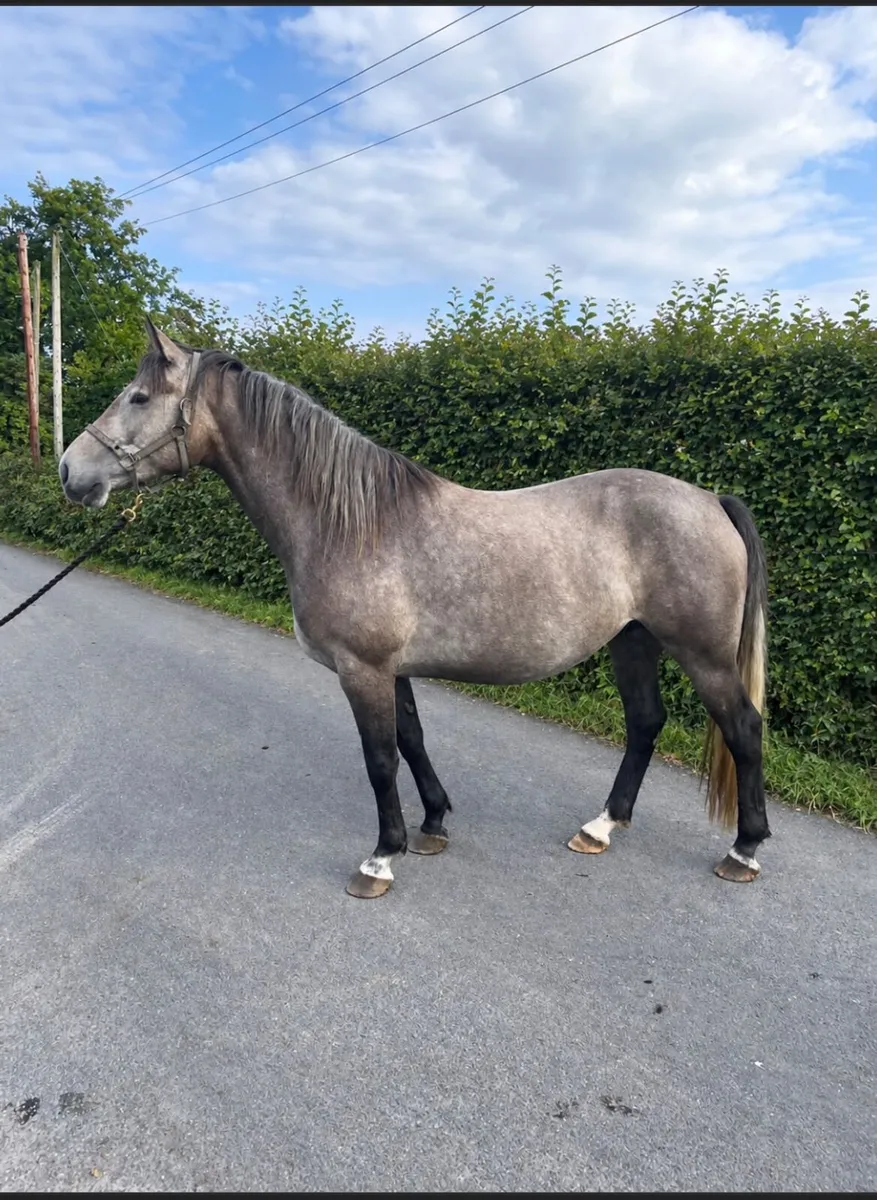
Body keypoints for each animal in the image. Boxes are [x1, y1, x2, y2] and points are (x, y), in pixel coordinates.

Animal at [59, 319, 771, 899]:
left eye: (139, 398)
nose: (70, 471)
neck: (349, 523)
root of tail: (710, 500)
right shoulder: (389, 669)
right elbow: (412, 739)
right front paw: (432, 825)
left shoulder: (362, 669)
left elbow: (379, 759)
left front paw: (381, 858)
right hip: (633, 639)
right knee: (645, 723)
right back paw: (601, 826)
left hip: (701, 655)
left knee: (743, 728)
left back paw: (744, 850)